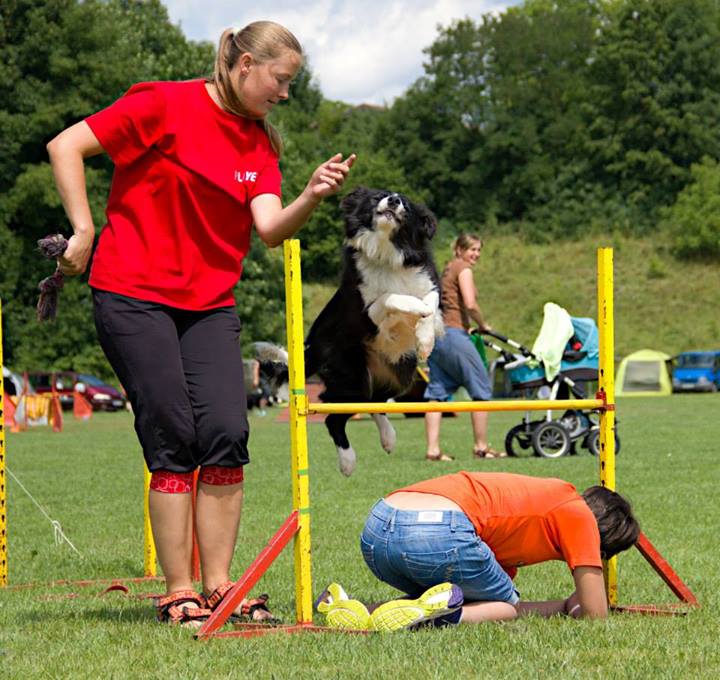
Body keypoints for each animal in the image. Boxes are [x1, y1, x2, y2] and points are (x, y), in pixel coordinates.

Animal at [304, 185, 444, 472]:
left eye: (406, 206)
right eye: (377, 196)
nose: (394, 200)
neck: (387, 250)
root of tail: (313, 344)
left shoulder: (427, 280)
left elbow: (431, 300)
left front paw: (425, 340)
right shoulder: (366, 313)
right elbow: (390, 296)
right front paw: (416, 307)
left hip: (402, 375)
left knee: (375, 400)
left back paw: (388, 438)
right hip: (351, 377)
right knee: (334, 417)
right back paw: (347, 462)